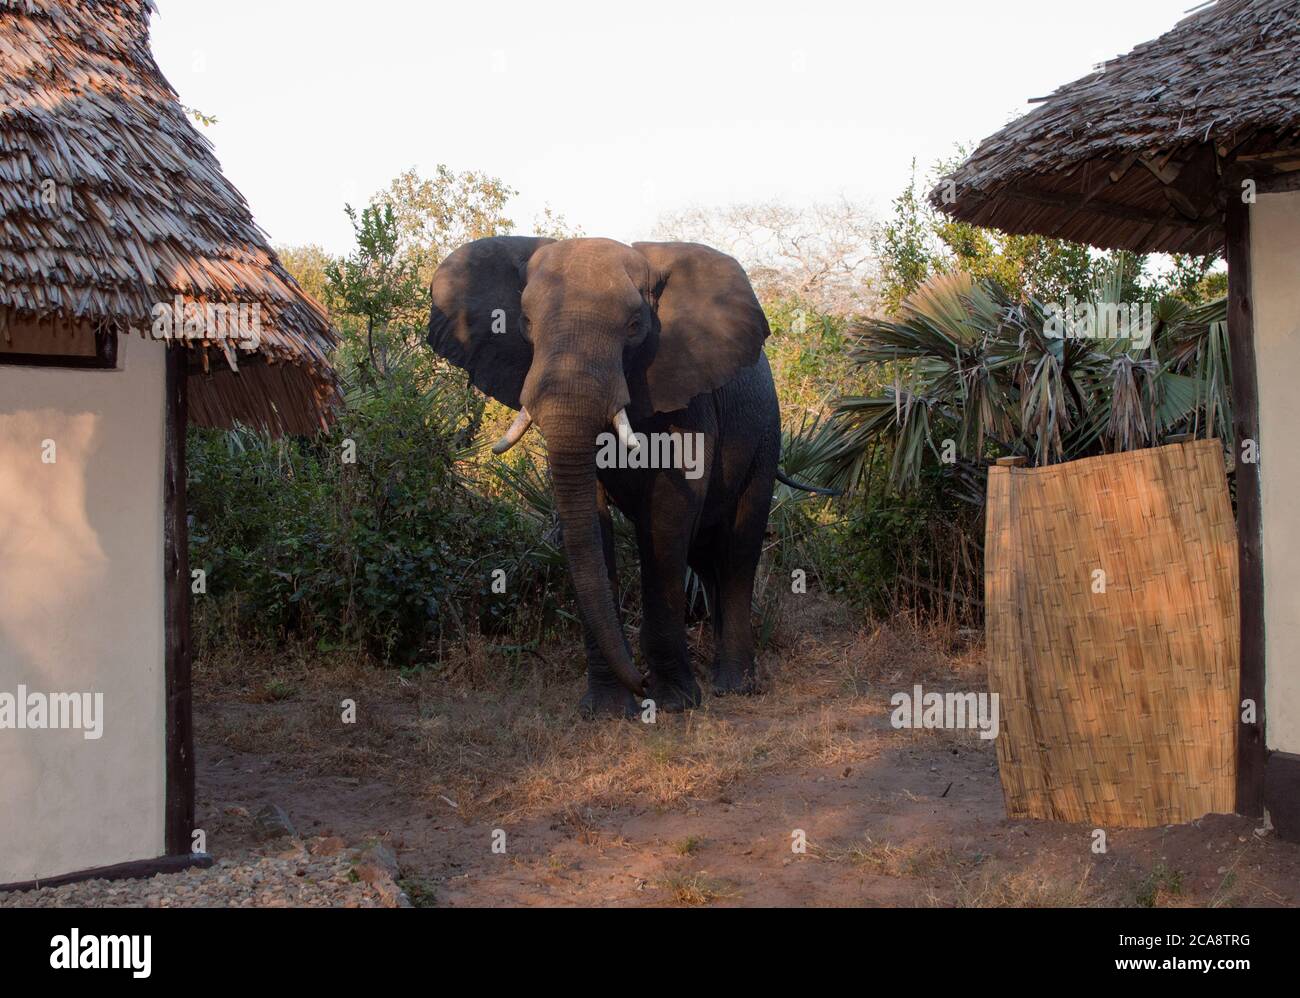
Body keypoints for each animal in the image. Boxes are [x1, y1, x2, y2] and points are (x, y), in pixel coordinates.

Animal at [431, 236, 785, 717]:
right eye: (525, 322)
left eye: (635, 326)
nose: (641, 680)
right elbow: (590, 520)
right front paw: (605, 711)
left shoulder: (686, 390)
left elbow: (669, 514)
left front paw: (673, 702)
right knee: (708, 555)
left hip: (766, 435)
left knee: (738, 549)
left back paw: (734, 686)